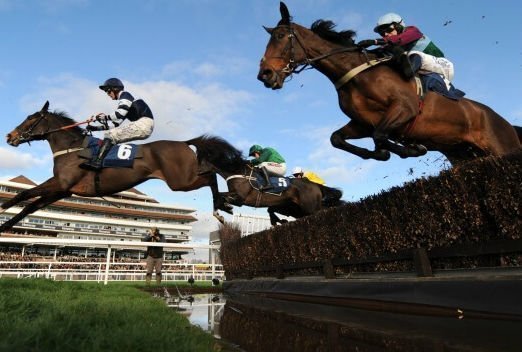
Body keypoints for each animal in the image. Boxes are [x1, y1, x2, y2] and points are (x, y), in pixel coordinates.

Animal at [0, 101, 232, 234]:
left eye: (30, 118)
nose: (10, 136)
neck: (72, 148)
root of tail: (184, 142)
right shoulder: (62, 190)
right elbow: (30, 204)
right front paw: (5, 223)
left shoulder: (60, 184)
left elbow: (25, 196)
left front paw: (3, 212)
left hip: (180, 180)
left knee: (211, 175)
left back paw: (222, 204)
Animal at [185, 135, 344, 226]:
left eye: (200, 160)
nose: (195, 173)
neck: (237, 172)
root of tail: (315, 185)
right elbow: (217, 197)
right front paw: (221, 213)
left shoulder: (241, 198)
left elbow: (220, 197)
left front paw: (226, 209)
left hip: (310, 207)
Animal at [258, 2, 516, 166]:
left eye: (280, 37)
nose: (265, 75)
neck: (358, 74)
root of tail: (504, 122)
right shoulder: (362, 122)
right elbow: (338, 138)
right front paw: (384, 153)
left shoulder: (405, 108)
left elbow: (381, 135)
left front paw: (413, 148)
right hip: (463, 156)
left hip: (503, 147)